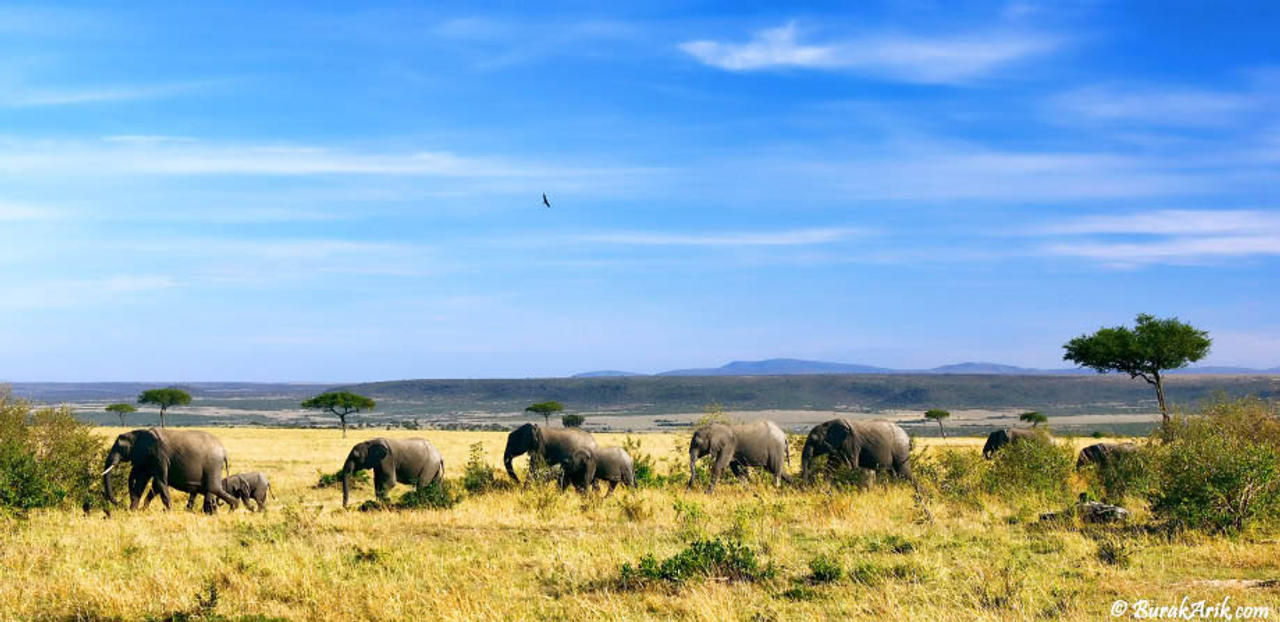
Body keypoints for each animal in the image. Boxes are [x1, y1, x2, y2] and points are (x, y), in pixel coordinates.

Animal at [102, 428, 239, 513]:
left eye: (119, 447)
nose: (120, 503)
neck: (138, 433)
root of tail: (224, 451)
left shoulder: (159, 456)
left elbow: (160, 482)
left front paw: (168, 511)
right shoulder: (149, 458)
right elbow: (145, 483)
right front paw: (136, 511)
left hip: (212, 464)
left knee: (213, 487)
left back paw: (233, 507)